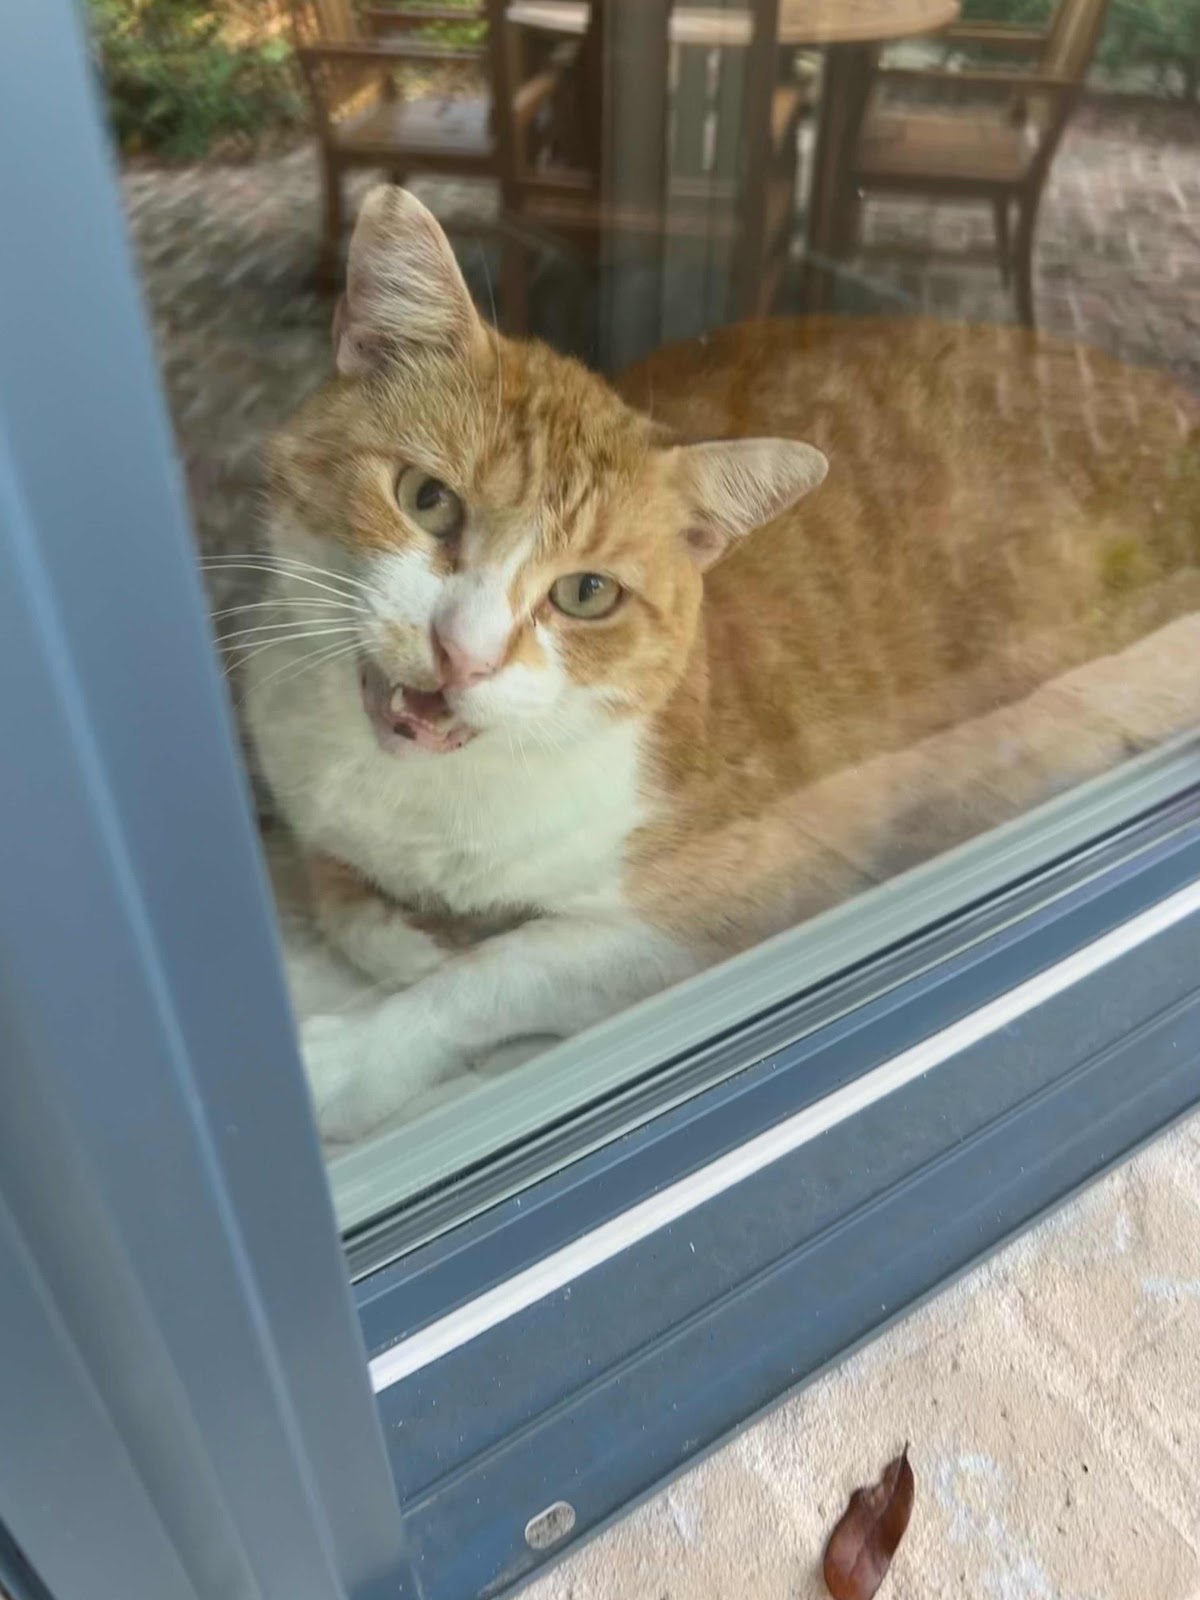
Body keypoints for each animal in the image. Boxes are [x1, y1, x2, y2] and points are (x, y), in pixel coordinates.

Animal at [245, 185, 1199, 1144]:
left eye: (587, 593)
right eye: (427, 499)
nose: (462, 652)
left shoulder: (709, 914)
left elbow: (499, 972)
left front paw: (361, 1049)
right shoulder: (308, 797)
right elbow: (341, 897)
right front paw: (405, 934)